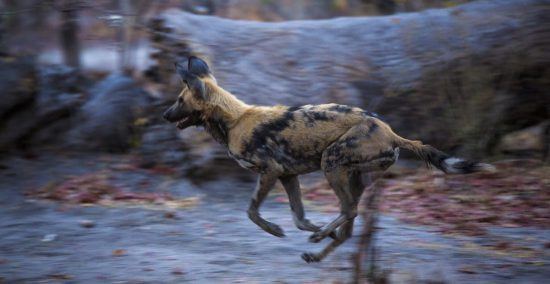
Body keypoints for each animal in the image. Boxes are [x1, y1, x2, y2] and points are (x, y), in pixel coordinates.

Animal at [164, 56, 496, 262]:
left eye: (179, 100)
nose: (165, 114)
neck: (234, 120)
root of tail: (391, 132)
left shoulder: (269, 171)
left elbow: (252, 212)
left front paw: (277, 230)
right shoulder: (287, 175)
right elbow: (299, 218)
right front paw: (314, 228)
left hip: (331, 163)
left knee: (349, 210)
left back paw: (320, 238)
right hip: (352, 175)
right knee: (349, 224)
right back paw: (318, 249)